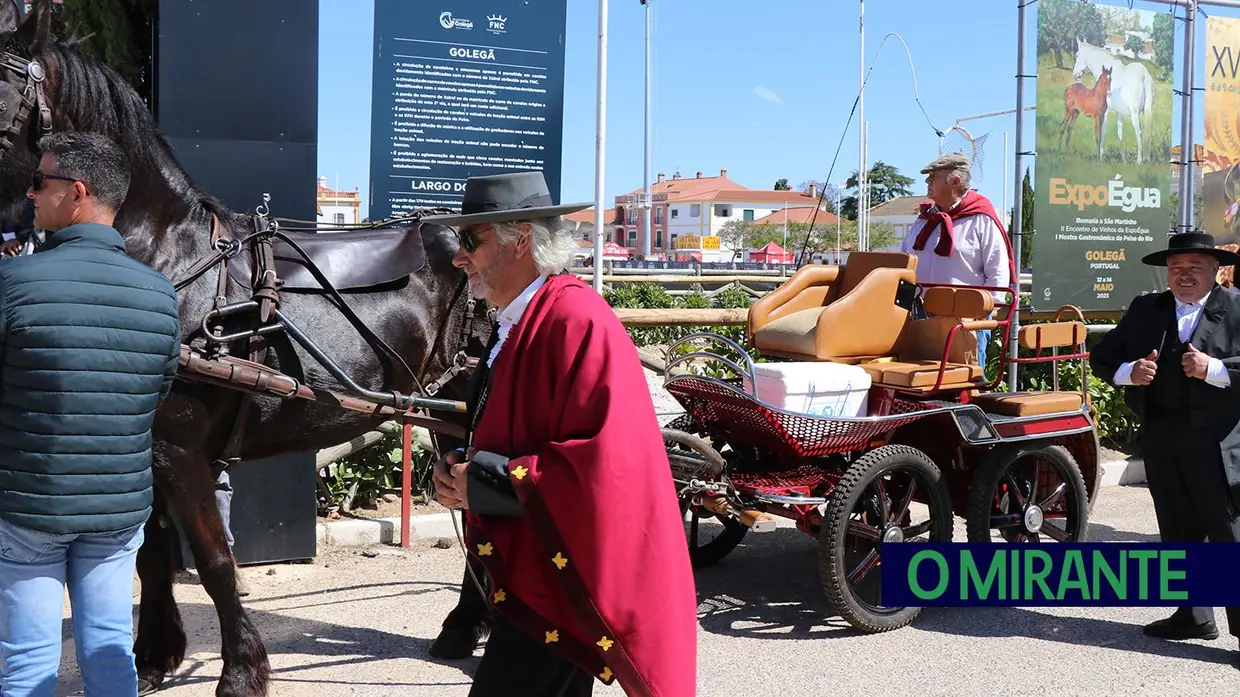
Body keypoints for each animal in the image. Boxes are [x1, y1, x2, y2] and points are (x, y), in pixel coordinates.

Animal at [0, 2, 488, 689]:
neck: (170, 258)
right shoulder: (146, 447)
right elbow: (153, 555)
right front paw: (154, 656)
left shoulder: (179, 449)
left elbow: (213, 562)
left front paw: (239, 672)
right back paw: (465, 626)